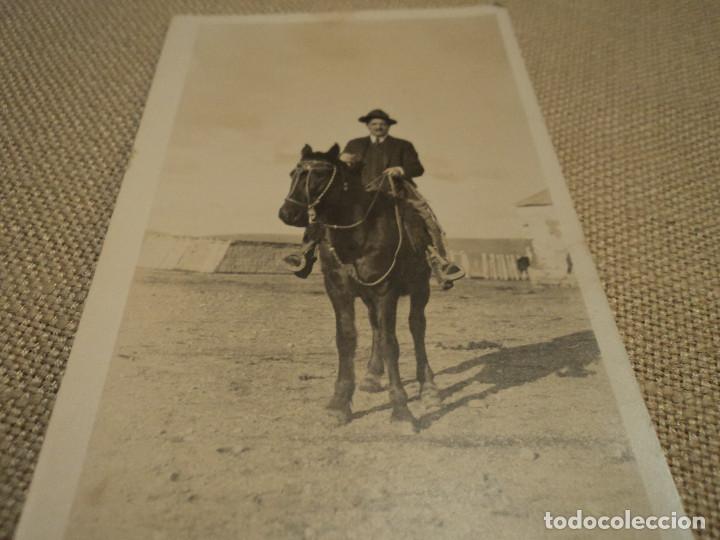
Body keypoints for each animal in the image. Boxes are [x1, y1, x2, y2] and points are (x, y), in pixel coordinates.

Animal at [277, 143, 442, 431]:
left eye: (319, 174)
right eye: (293, 173)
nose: (288, 213)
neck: (356, 238)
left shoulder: (385, 291)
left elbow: (391, 342)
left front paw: (401, 410)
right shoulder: (339, 290)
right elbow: (346, 339)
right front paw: (339, 403)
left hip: (420, 287)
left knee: (416, 327)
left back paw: (428, 387)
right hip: (368, 296)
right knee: (376, 327)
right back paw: (372, 376)